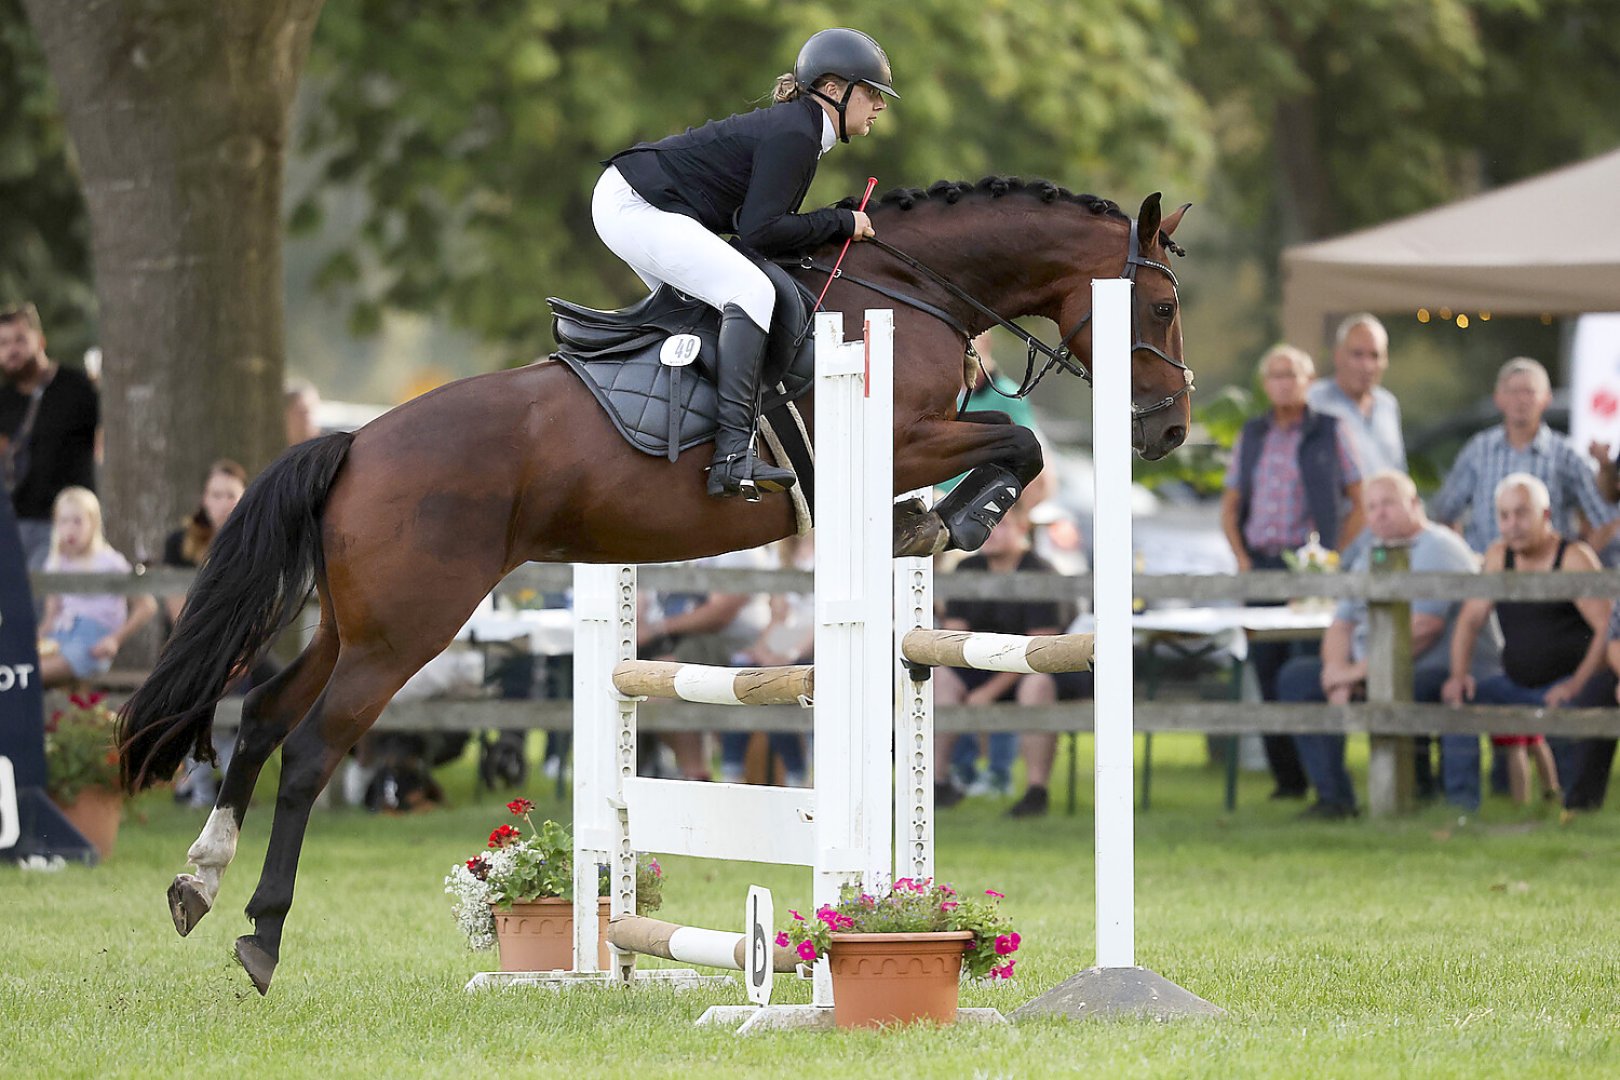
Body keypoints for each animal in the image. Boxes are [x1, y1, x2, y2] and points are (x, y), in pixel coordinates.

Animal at [119, 177, 1192, 997]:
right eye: (1165, 307)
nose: (1173, 430)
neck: (908, 292)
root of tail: (358, 444)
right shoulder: (902, 438)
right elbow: (1022, 442)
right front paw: (950, 522)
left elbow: (1013, 444)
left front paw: (926, 524)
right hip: (405, 633)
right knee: (309, 750)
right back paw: (260, 935)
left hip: (357, 626)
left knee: (262, 713)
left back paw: (195, 884)